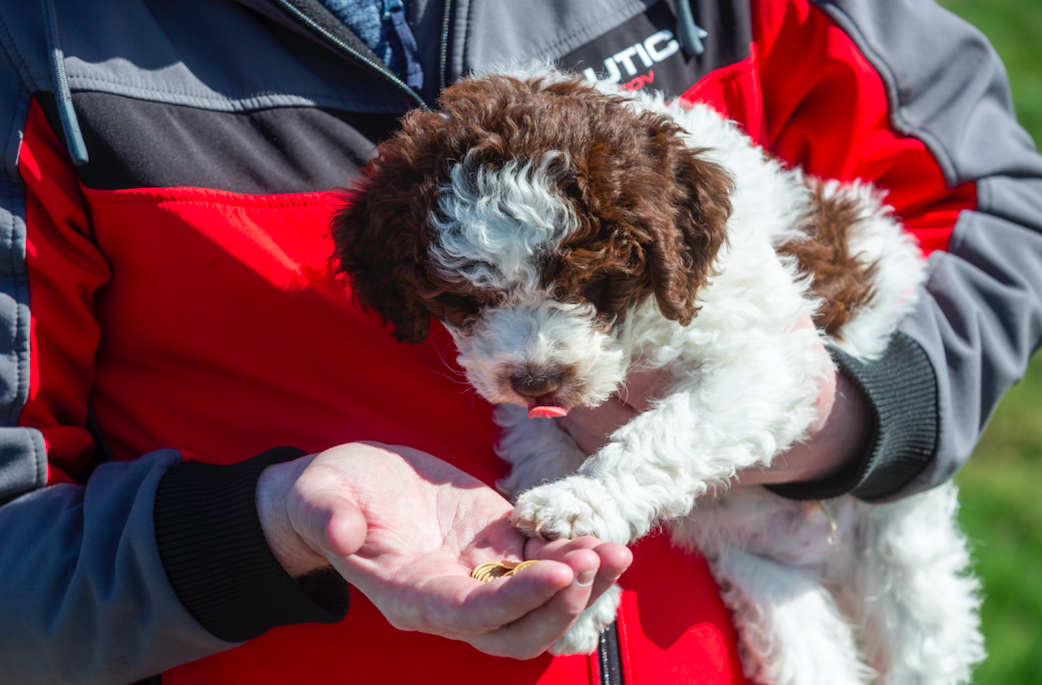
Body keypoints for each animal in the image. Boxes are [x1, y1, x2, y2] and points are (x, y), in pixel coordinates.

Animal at [329, 65, 979, 683]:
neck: (639, 327)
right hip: (775, 585)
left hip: (903, 556)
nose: (537, 380)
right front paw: (575, 590)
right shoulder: (528, 402)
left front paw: (580, 504)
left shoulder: (767, 359)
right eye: (465, 299)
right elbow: (540, 441)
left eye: (592, 284)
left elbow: (665, 433)